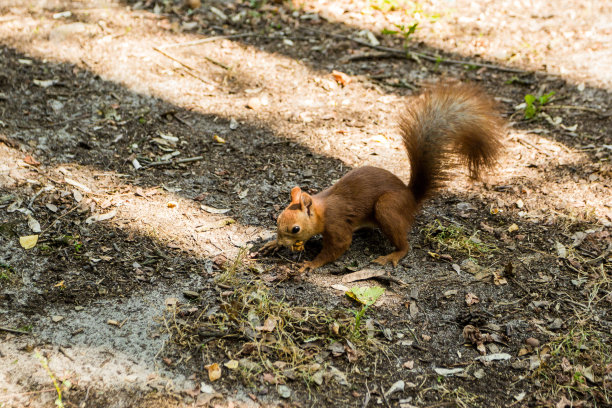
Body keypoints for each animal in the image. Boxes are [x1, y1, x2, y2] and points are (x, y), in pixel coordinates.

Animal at [260, 83, 504, 272]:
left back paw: (392, 255)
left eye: (296, 229)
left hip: (387, 207)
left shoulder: (337, 224)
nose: (282, 241)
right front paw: (273, 244)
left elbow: (339, 246)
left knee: (404, 245)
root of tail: (411, 198)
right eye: (278, 220)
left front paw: (311, 263)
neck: (322, 209)